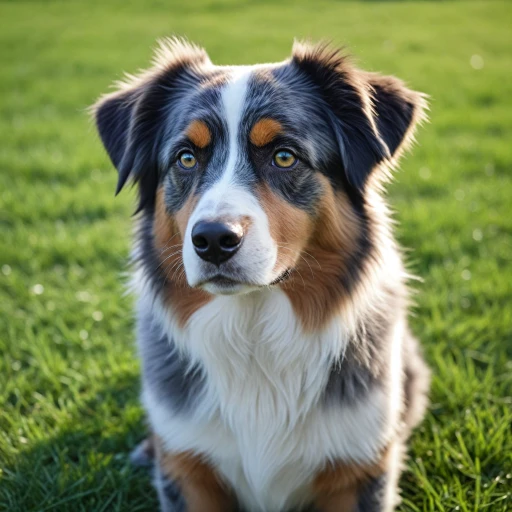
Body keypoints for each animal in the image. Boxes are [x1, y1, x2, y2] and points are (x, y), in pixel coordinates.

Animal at [93, 39, 432, 512]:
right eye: (186, 157)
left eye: (284, 156)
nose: (213, 239)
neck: (253, 332)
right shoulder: (189, 471)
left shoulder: (359, 469)